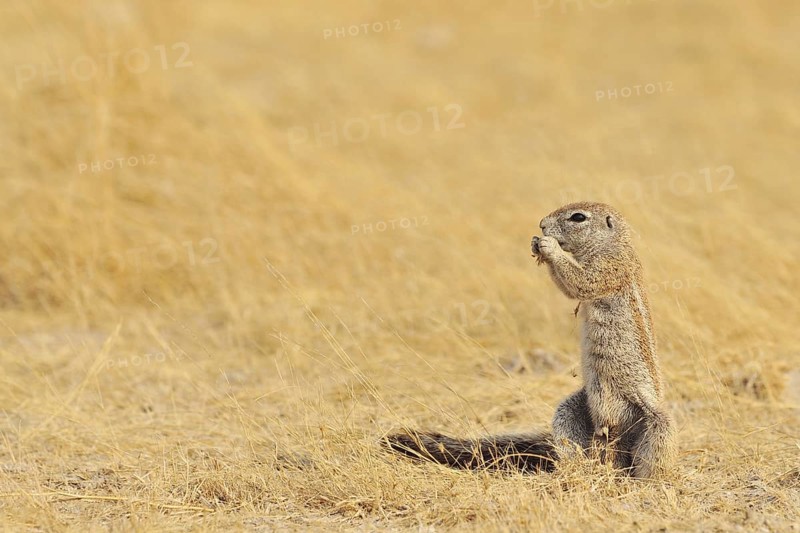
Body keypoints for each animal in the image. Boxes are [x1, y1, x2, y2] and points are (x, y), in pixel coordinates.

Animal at [384, 202, 675, 478]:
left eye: (578, 217)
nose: (542, 224)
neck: (613, 243)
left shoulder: (609, 267)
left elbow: (583, 282)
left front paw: (549, 246)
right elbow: (568, 287)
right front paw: (537, 243)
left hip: (657, 423)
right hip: (569, 410)